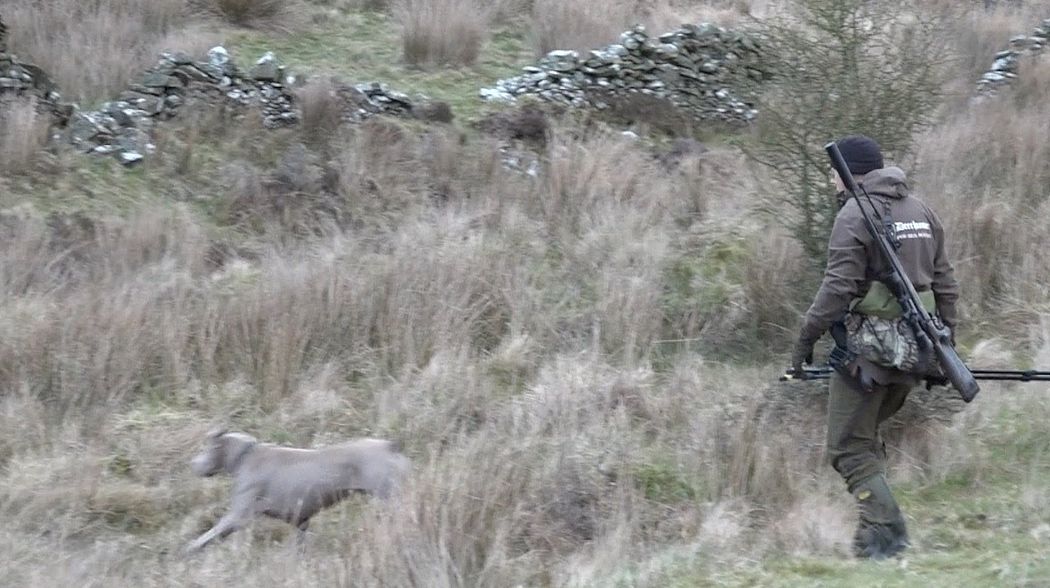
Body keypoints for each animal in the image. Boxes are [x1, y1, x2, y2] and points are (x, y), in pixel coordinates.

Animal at [186, 430, 407, 554]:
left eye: (208, 447)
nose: (193, 464)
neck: (245, 455)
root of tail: (390, 446)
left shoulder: (237, 517)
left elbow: (205, 538)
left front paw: (188, 552)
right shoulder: (302, 522)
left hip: (390, 499)